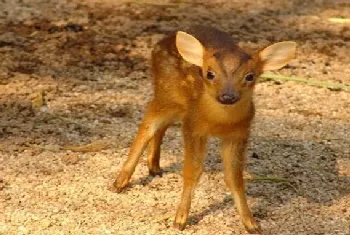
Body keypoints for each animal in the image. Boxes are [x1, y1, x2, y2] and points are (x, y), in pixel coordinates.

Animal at [113, 25, 296, 233]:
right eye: (210, 74)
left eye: (250, 76)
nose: (227, 96)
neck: (219, 123)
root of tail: (161, 42)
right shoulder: (193, 127)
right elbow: (192, 172)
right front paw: (180, 220)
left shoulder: (239, 134)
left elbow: (234, 178)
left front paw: (251, 224)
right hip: (165, 93)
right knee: (147, 126)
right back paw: (119, 182)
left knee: (162, 126)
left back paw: (154, 167)